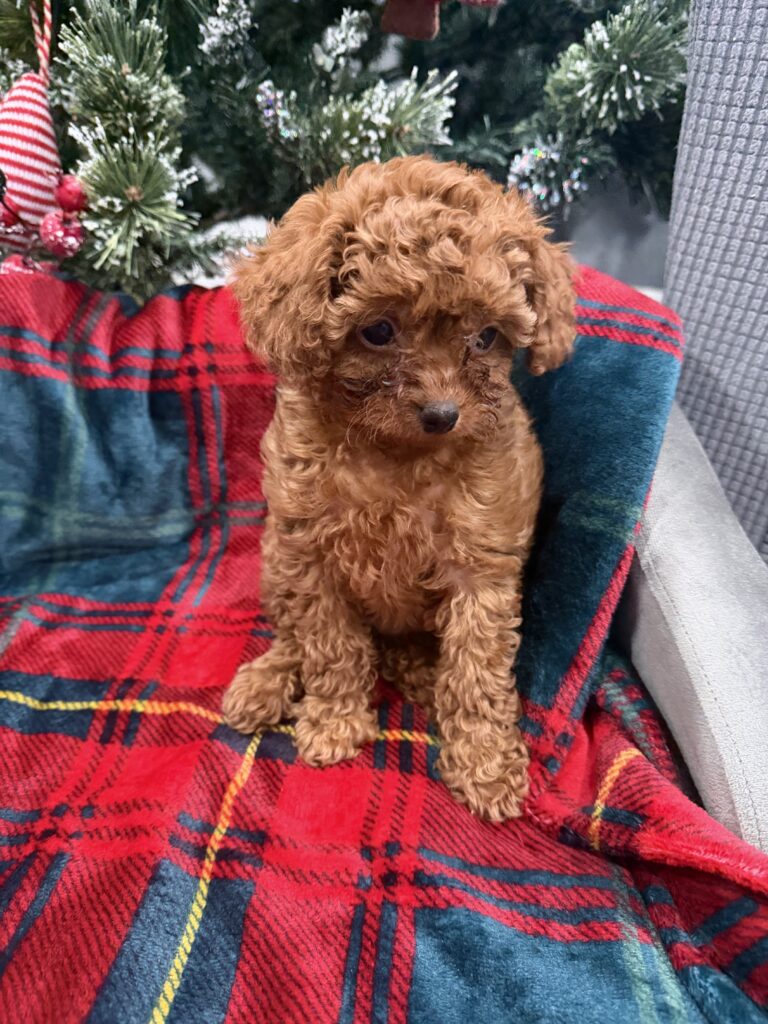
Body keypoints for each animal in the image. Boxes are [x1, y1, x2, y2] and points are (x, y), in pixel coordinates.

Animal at [222, 155, 575, 821]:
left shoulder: (481, 566)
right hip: (276, 558)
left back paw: (418, 673)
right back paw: (265, 681)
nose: (443, 414)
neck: (397, 456)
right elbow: (330, 645)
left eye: (487, 337)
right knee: (291, 634)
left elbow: (477, 672)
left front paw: (484, 765)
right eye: (378, 330)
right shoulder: (311, 556)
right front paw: (334, 724)